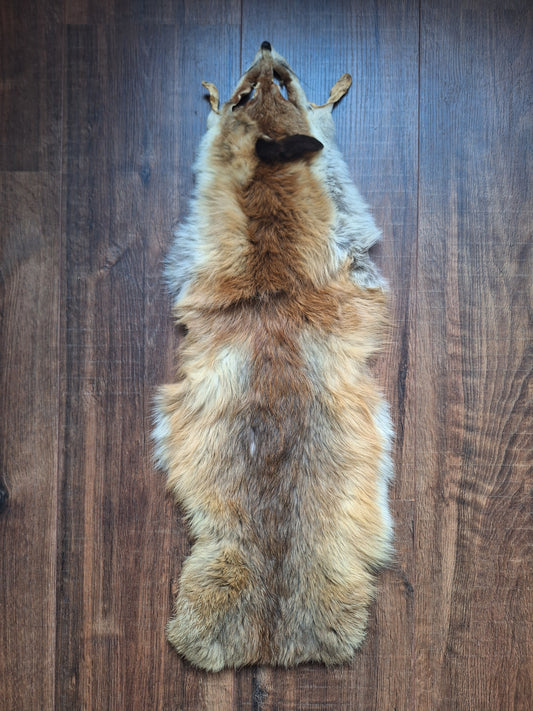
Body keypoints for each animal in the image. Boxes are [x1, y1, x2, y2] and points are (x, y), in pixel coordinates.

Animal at [153, 42, 393, 671]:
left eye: (269, 87)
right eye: (250, 90)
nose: (264, 47)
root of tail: (270, 638)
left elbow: (321, 127)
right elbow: (322, 129)